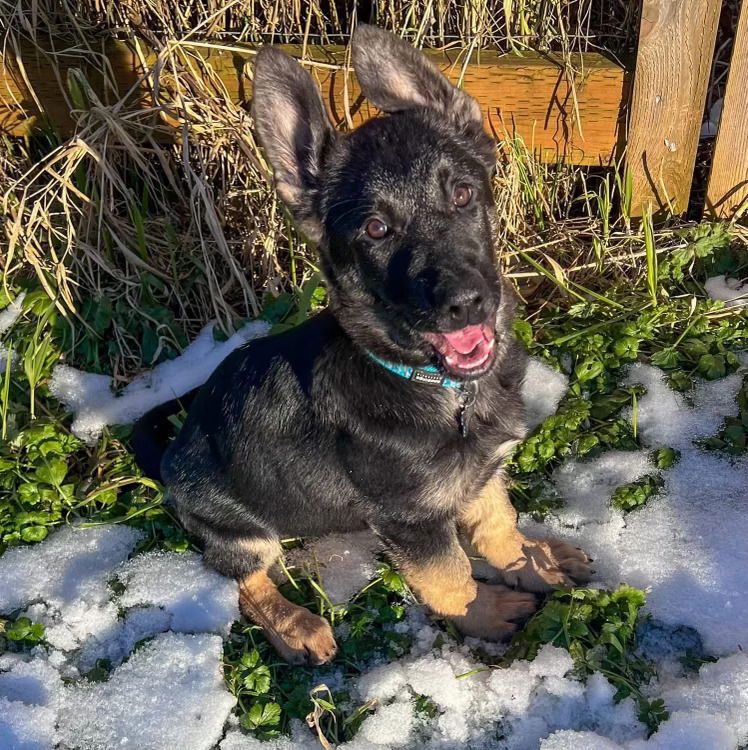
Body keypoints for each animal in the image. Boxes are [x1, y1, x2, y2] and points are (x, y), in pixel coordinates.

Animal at [133, 24, 591, 666]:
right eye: (376, 230)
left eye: (463, 195)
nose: (467, 303)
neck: (437, 389)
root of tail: (168, 460)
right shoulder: (411, 521)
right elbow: (449, 576)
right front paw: (483, 613)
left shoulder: (480, 477)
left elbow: (498, 526)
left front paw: (533, 562)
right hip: (242, 531)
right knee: (244, 581)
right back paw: (296, 625)